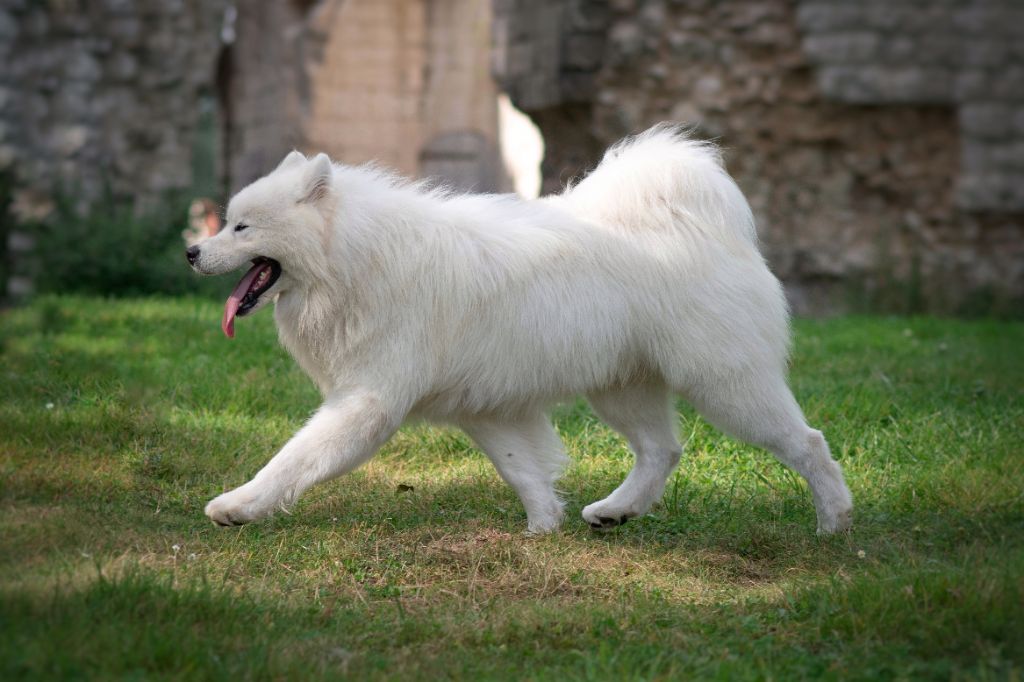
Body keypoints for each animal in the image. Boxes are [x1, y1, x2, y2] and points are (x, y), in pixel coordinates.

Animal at [188, 124, 851, 532]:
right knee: (662, 450)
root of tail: (704, 224)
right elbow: (521, 468)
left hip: (725, 386)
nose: (192, 251)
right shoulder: (485, 407)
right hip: (622, 387)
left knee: (809, 443)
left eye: (242, 227)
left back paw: (834, 523)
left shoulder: (368, 403)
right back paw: (614, 510)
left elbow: (293, 460)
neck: (354, 259)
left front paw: (238, 506)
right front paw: (543, 527)